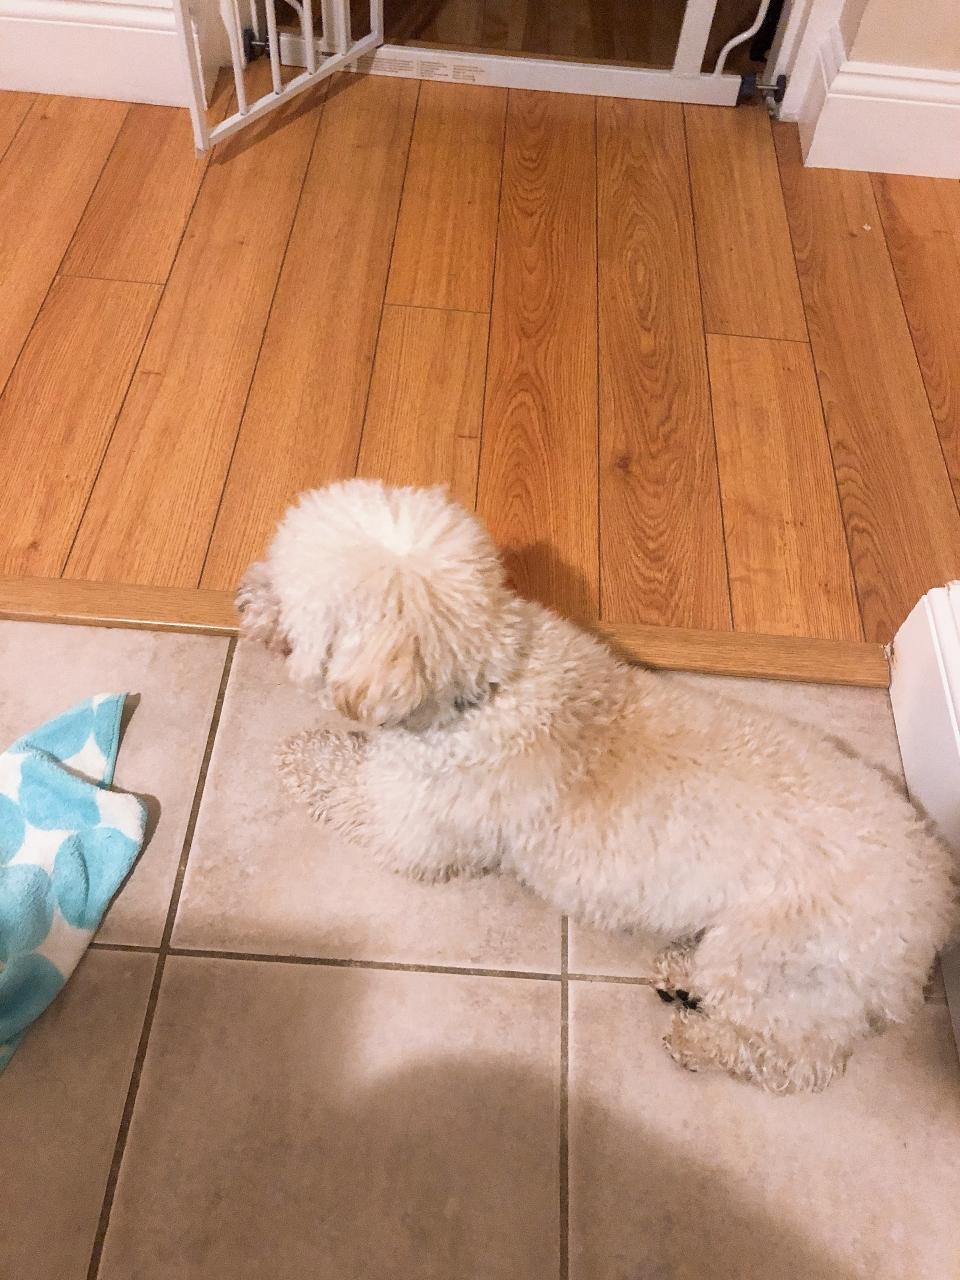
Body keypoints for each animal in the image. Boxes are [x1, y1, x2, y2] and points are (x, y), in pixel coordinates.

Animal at [238, 479, 957, 1094]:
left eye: (297, 605)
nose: (242, 594)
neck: (489, 687)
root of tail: (937, 903)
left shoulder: (416, 829)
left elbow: (343, 783)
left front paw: (301, 753)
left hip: (777, 963)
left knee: (800, 1058)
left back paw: (699, 1042)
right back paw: (680, 973)